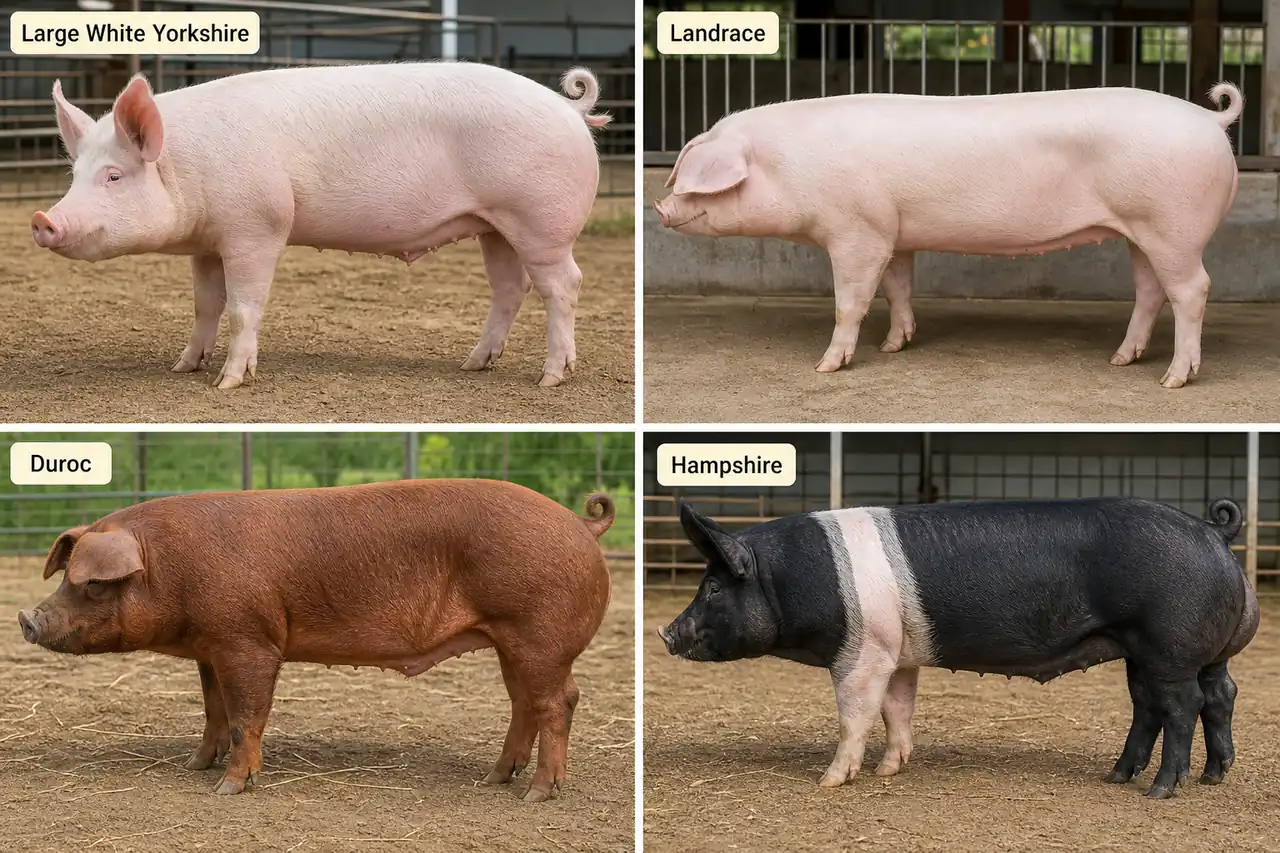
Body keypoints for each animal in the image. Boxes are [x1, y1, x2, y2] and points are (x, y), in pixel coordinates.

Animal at [18, 480, 615, 801]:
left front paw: (228, 789)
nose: (26, 618)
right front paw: (194, 766)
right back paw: (492, 780)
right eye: (65, 576)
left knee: (558, 702)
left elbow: (245, 716)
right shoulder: (210, 648)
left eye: (92, 584)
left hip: (538, 635)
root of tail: (581, 526)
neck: (168, 569)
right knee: (525, 705)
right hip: (512, 642)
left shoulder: (248, 641)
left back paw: (536, 794)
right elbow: (213, 710)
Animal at [32, 63, 611, 389]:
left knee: (565, 284)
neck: (184, 165)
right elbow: (205, 306)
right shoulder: (208, 242)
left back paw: (550, 379)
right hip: (496, 226)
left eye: (113, 175)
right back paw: (473, 366)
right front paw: (184, 367)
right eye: (75, 174)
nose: (43, 220)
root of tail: (567, 106)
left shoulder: (257, 226)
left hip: (541, 220)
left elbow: (243, 308)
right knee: (510, 288)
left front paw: (227, 384)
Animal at [653, 85, 1243, 389]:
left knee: (1193, 289)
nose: (658, 205)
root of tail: (1211, 121)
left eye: (694, 179)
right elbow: (897, 289)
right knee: (1150, 291)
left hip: (1173, 225)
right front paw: (895, 346)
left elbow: (850, 300)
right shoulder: (894, 231)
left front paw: (826, 366)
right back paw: (1121, 361)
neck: (789, 168)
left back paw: (1172, 380)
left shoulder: (857, 229)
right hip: (1142, 230)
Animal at [660, 497, 1258, 799]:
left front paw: (830, 782)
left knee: (1182, 706)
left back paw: (1160, 791)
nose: (667, 633)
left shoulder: (864, 652)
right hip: (1175, 652)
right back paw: (1184, 776)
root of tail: (1215, 532)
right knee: (1202, 697)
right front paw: (890, 770)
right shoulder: (899, 653)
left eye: (713, 589)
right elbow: (897, 710)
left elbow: (855, 714)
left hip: (1168, 643)